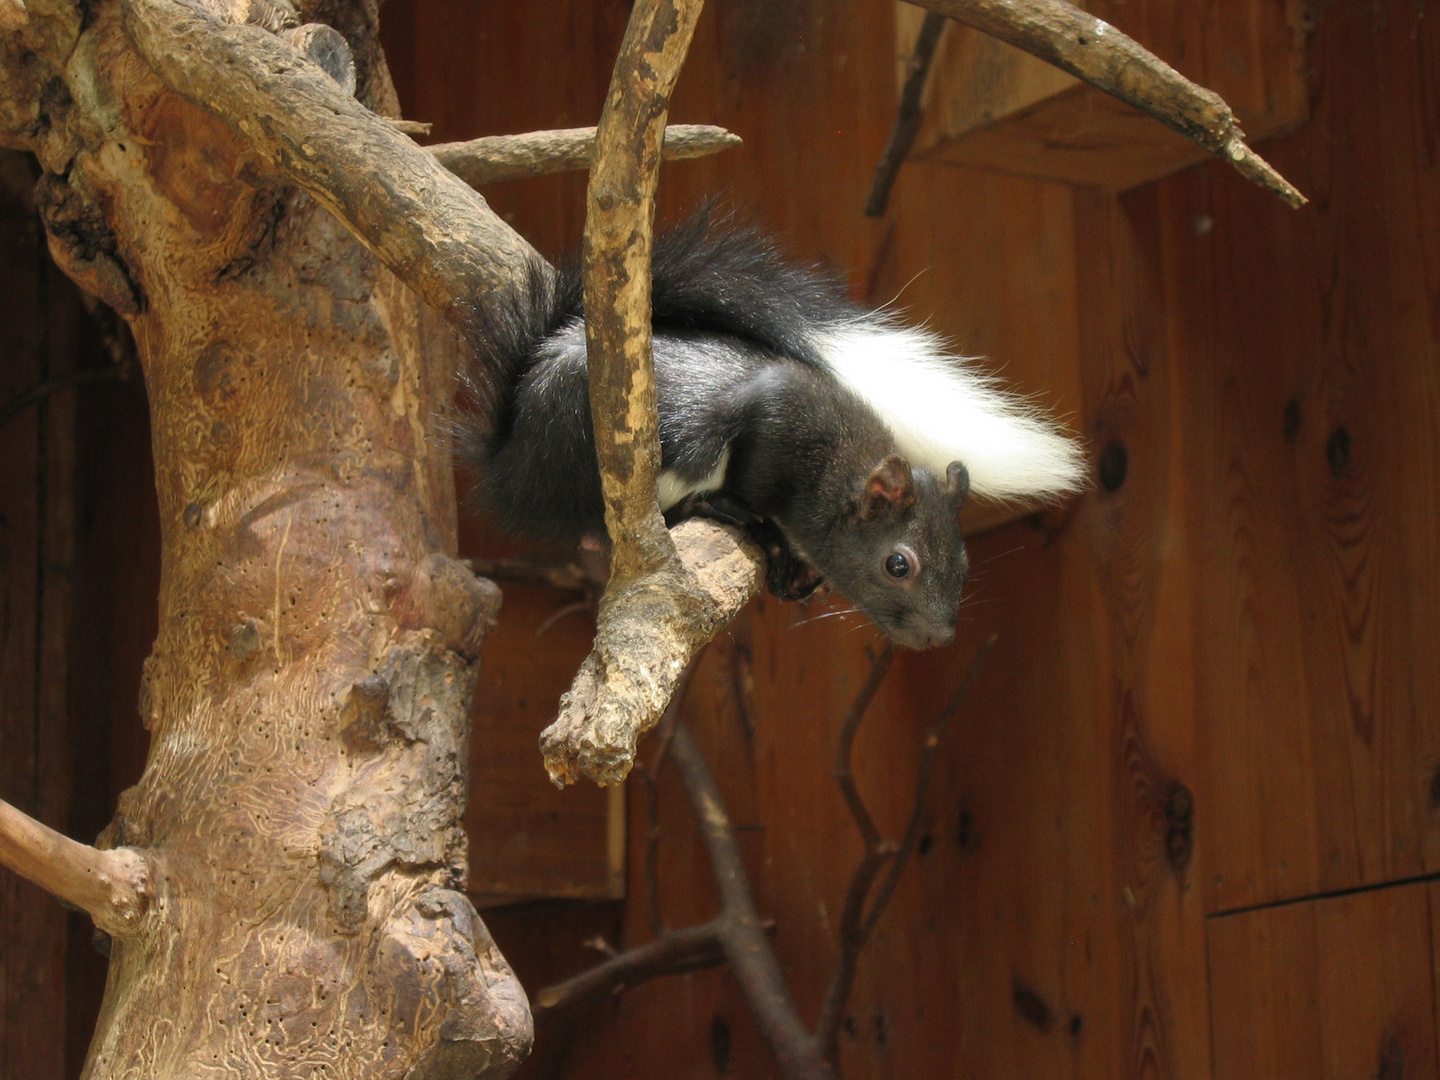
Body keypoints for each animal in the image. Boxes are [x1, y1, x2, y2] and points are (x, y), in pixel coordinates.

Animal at [457, 213, 1082, 650]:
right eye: (898, 565)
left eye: (966, 563)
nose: (938, 638)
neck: (837, 464)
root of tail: (515, 465)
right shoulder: (774, 421)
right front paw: (771, 538)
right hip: (590, 440)